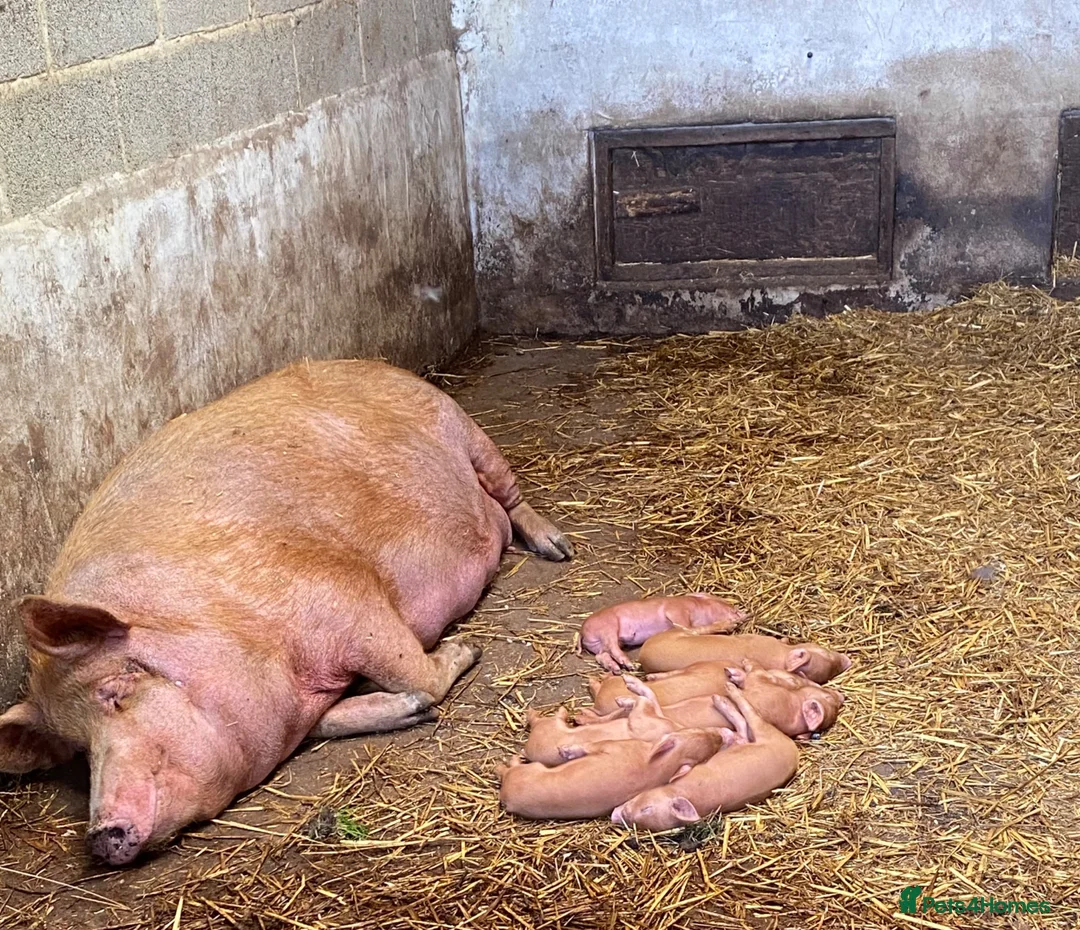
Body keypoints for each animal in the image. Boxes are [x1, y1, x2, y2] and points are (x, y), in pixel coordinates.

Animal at [0, 360, 572, 865]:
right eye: (79, 749)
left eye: (116, 691)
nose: (101, 836)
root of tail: (372, 364)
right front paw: (411, 708)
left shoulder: (344, 594)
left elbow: (416, 673)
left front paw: (465, 650)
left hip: (463, 427)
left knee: (511, 495)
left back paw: (555, 547)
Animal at [498, 728, 732, 820]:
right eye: (697, 732)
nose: (719, 736)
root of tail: (507, 796)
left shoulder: (610, 746)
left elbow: (587, 747)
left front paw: (564, 750)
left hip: (530, 769)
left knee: (509, 767)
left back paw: (510, 760)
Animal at [577, 594, 745, 673]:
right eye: (726, 604)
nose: (743, 613)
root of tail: (582, 631)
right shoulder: (677, 612)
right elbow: (688, 628)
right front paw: (730, 625)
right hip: (608, 628)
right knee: (613, 649)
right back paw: (631, 666)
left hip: (600, 644)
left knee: (602, 655)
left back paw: (617, 669)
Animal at [583, 662, 842, 740]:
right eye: (796, 680)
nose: (839, 696)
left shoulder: (766, 694)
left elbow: (756, 676)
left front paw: (735, 674)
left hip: (654, 718)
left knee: (646, 702)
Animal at [611, 682, 799, 831]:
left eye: (646, 809)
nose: (614, 815)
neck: (682, 790)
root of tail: (793, 748)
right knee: (743, 730)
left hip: (764, 730)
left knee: (750, 714)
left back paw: (724, 693)